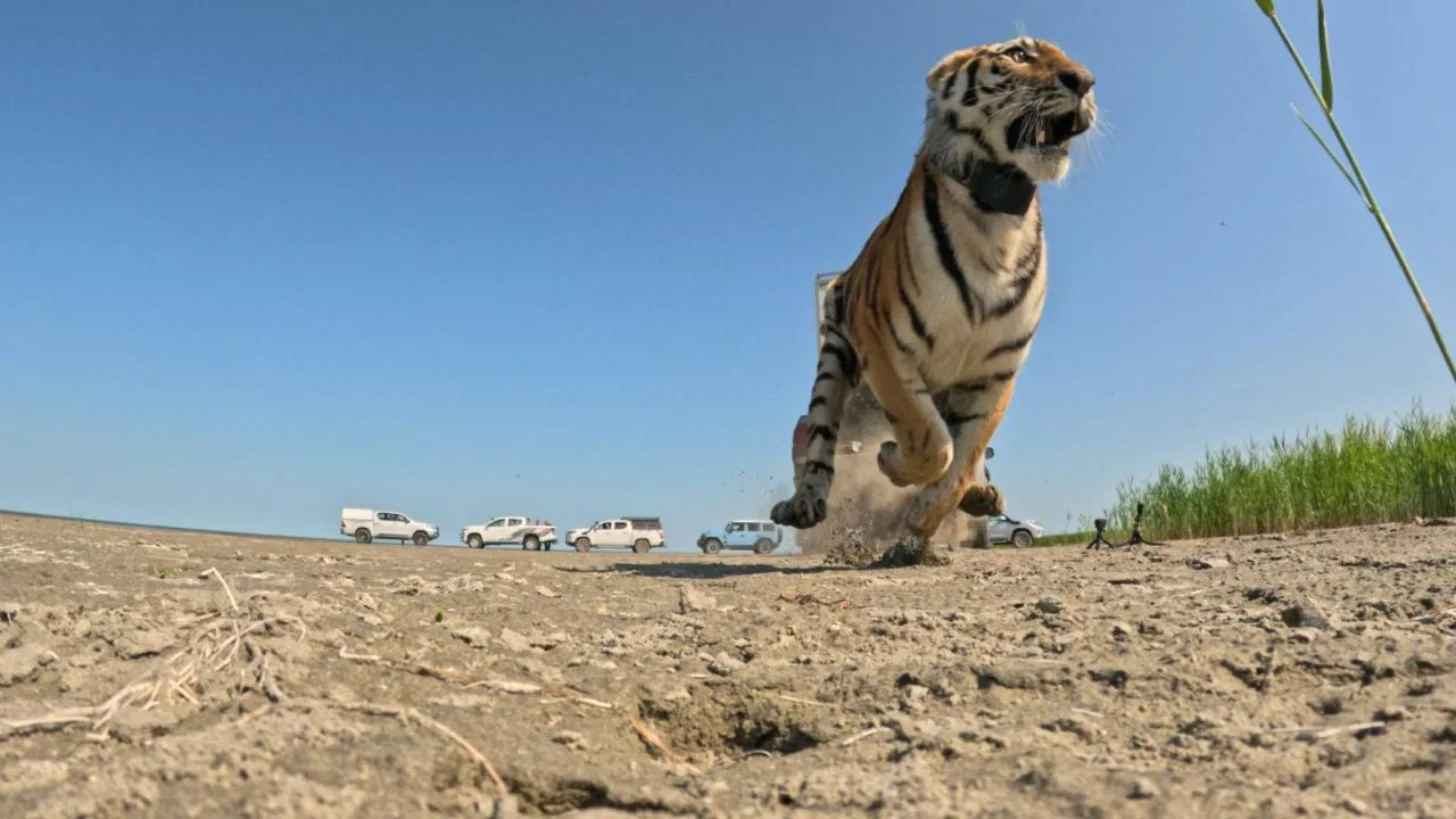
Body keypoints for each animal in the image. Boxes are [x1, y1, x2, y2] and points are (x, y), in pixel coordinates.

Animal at [770, 36, 1098, 553]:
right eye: (1018, 54)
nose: (1084, 81)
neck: (995, 218)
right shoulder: (883, 344)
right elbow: (929, 439)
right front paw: (890, 461)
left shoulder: (998, 371)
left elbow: (963, 457)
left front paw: (926, 517)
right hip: (835, 360)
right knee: (822, 440)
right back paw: (806, 503)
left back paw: (980, 495)